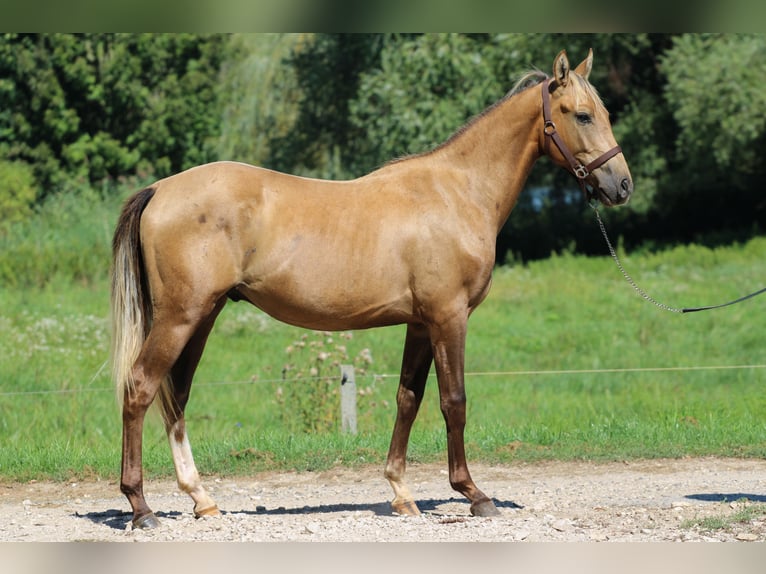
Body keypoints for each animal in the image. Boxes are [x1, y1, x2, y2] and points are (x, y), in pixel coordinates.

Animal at [112, 51, 632, 528]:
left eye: (604, 113)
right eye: (582, 115)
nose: (622, 185)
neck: (457, 193)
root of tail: (160, 189)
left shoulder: (420, 324)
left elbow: (408, 399)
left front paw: (401, 492)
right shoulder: (448, 317)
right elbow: (454, 401)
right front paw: (473, 493)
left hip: (202, 316)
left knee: (176, 397)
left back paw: (201, 499)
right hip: (181, 317)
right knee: (140, 388)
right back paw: (141, 507)